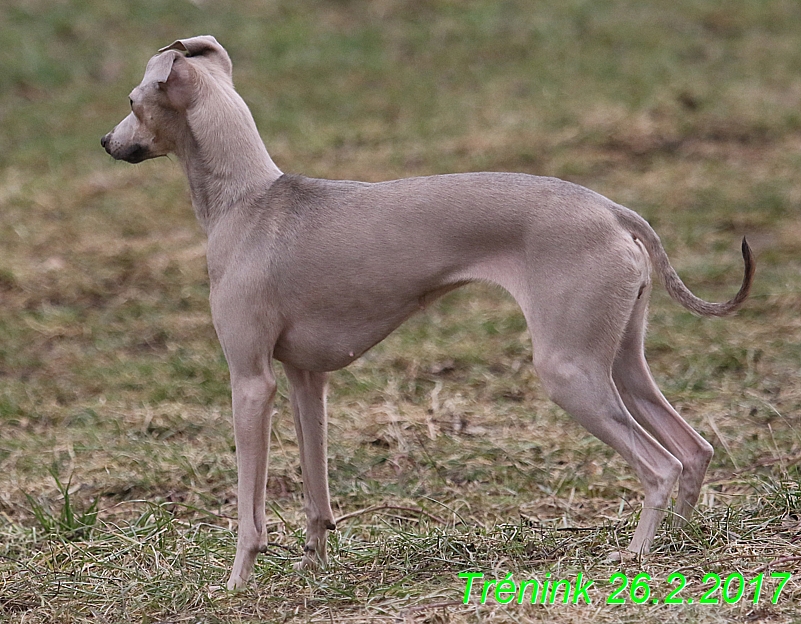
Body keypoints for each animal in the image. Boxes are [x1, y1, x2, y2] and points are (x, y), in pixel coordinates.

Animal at [100, 35, 752, 588]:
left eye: (132, 101)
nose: (106, 142)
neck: (249, 201)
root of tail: (613, 210)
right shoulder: (306, 377)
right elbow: (315, 490)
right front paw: (314, 565)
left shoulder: (251, 382)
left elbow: (250, 510)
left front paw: (237, 583)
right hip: (617, 360)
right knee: (693, 449)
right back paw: (682, 542)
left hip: (569, 370)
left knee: (660, 464)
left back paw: (636, 555)